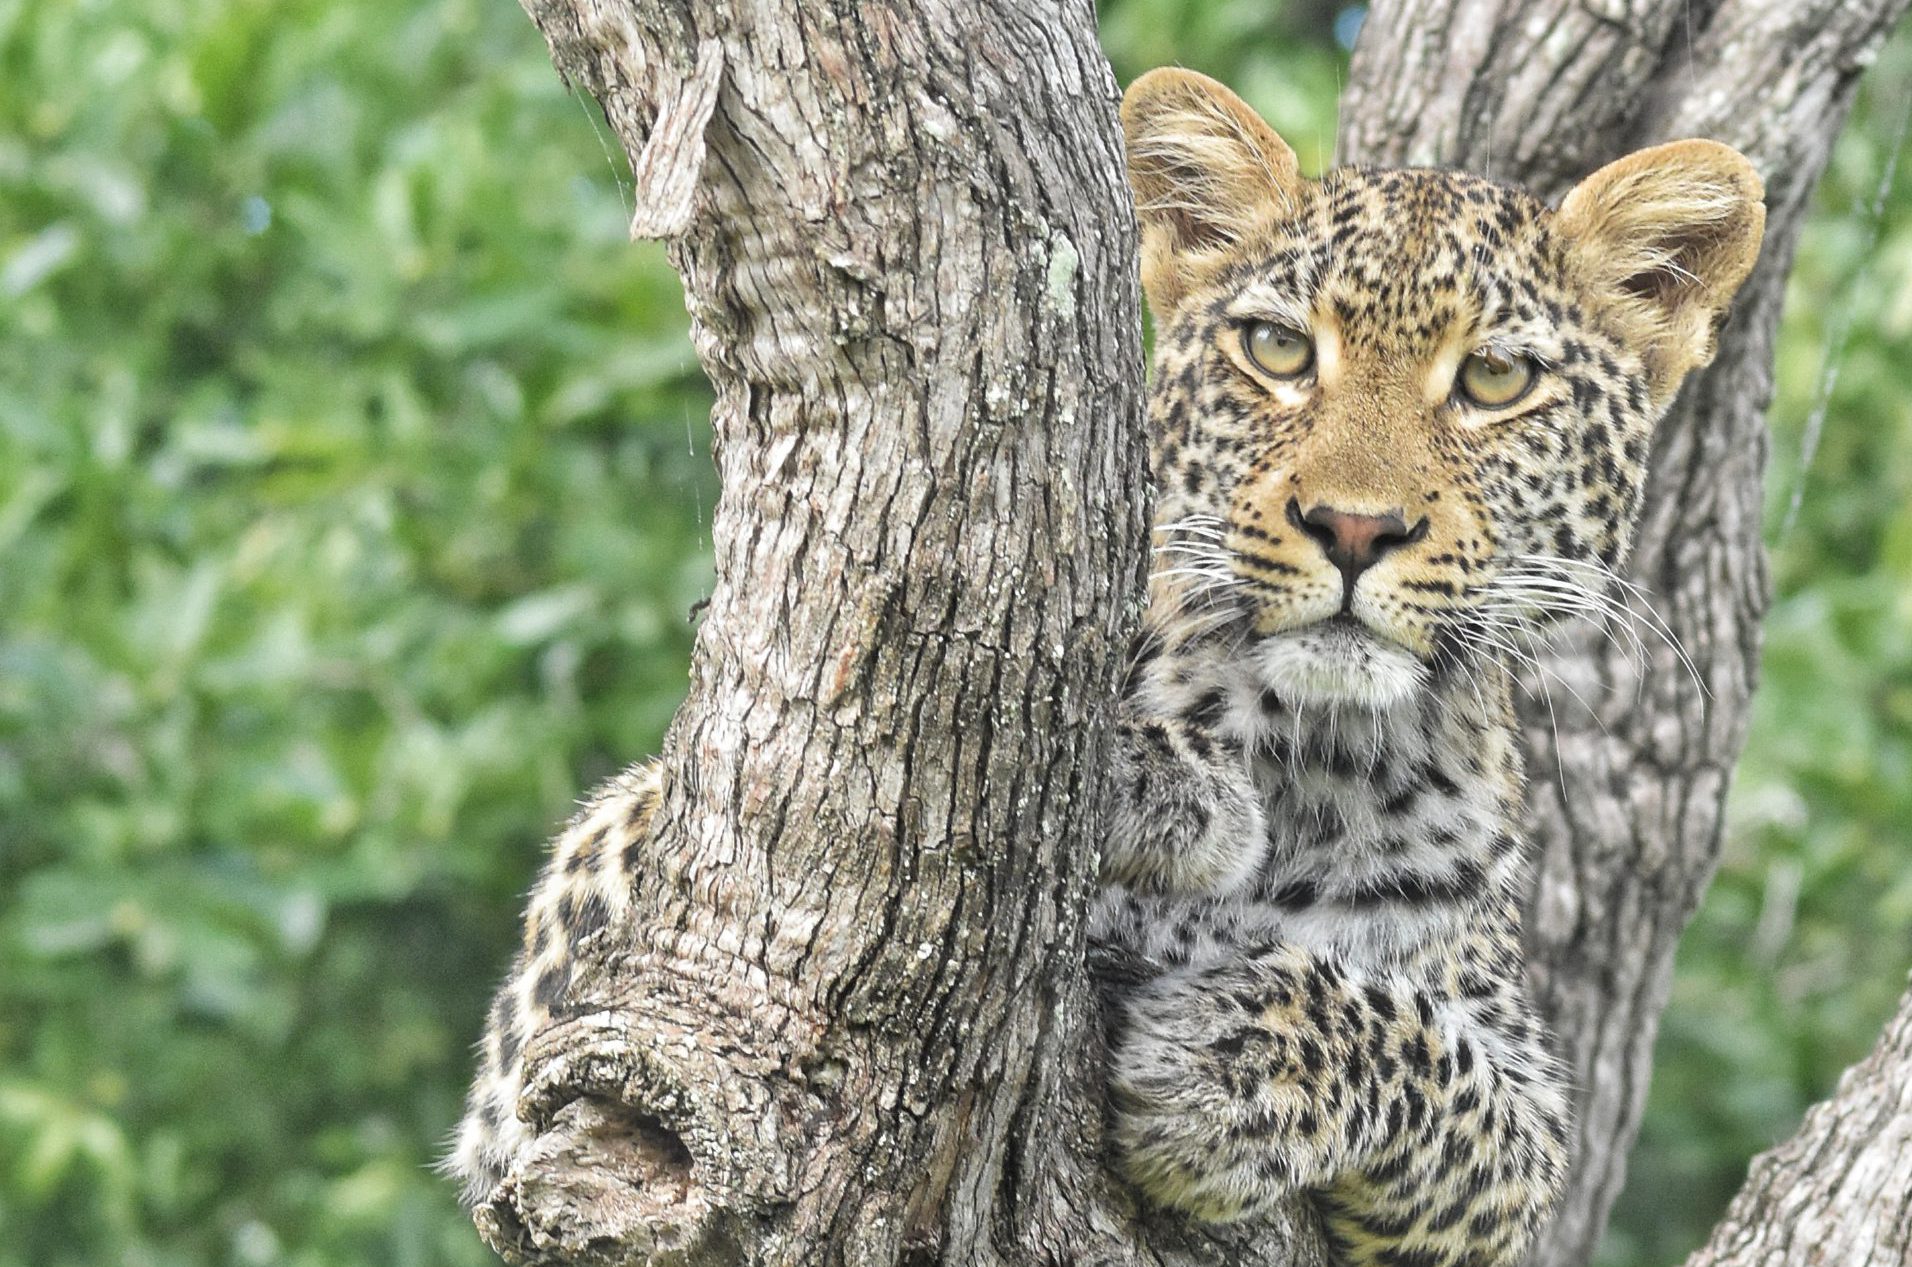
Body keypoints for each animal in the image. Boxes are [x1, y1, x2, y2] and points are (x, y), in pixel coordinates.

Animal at [447, 64, 1759, 1267]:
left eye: (1495, 379)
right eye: (1277, 349)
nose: (1351, 527)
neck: (1312, 764)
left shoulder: (1518, 1124)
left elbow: (1433, 1069)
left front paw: (1224, 1066)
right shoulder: (559, 1019)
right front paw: (1158, 785)